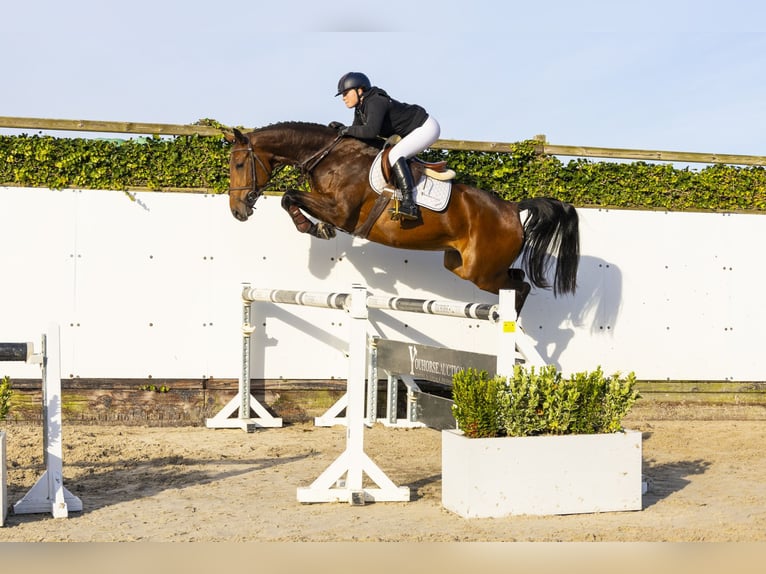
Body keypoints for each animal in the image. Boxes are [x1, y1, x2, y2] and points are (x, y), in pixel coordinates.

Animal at [228, 121, 584, 316]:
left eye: (239, 165)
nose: (237, 211)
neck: (330, 157)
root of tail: (512, 208)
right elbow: (291, 198)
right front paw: (318, 228)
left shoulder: (341, 210)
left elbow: (289, 195)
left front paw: (312, 227)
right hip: (462, 266)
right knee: (516, 277)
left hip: (481, 272)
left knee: (520, 285)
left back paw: (510, 324)